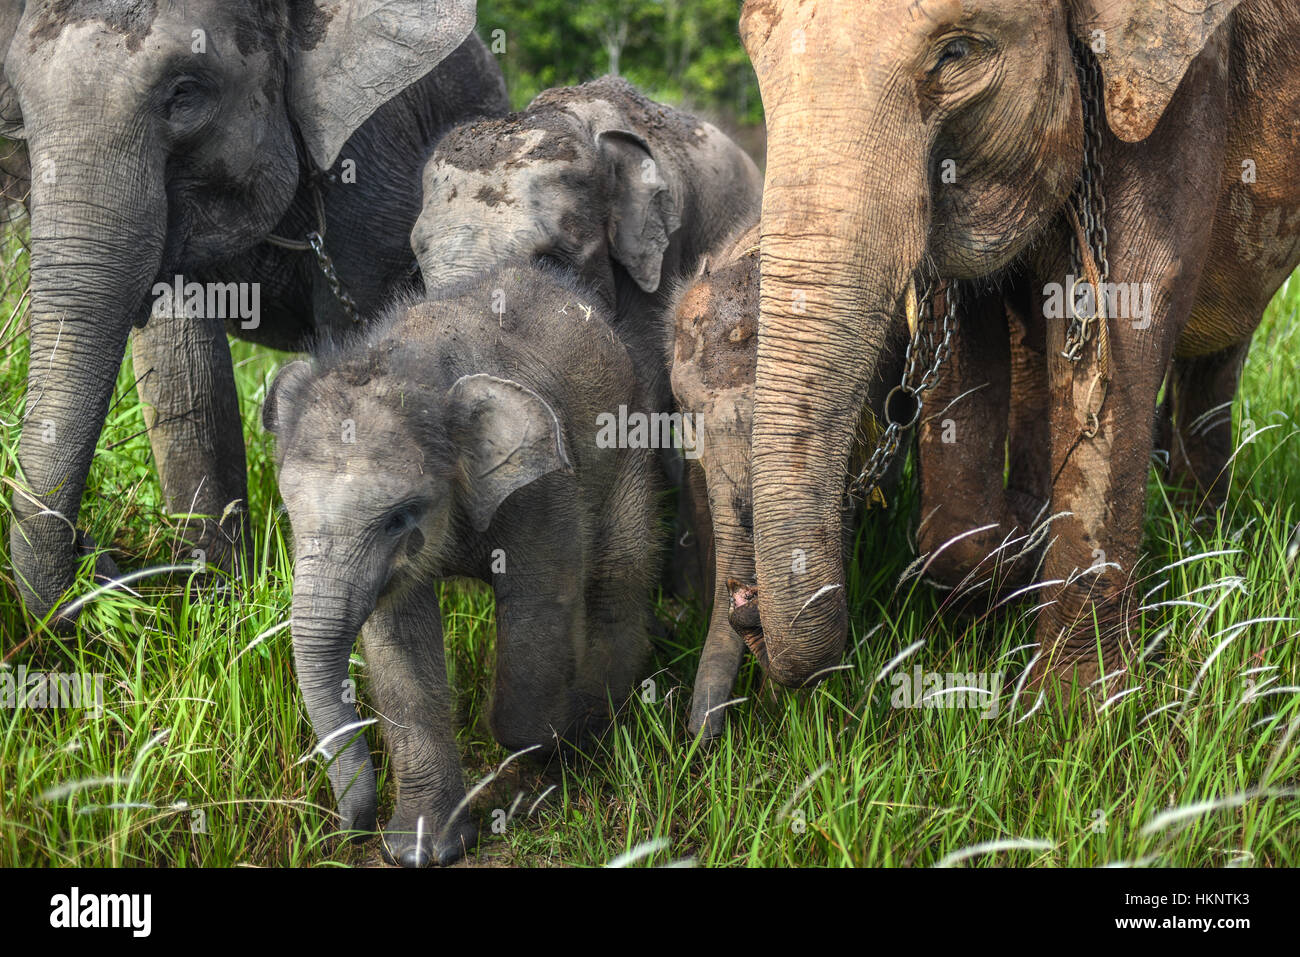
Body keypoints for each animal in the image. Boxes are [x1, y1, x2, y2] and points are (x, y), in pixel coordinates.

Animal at [2, 0, 509, 624]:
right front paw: (221, 607)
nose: (90, 549)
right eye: (18, 111)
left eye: (184, 92)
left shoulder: (375, 160)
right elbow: (184, 367)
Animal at [260, 267, 665, 868]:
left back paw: (598, 722)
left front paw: (558, 735)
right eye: (289, 510)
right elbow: (400, 641)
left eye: (399, 517)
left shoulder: (544, 487)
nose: (340, 832)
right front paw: (419, 851)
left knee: (620, 573)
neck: (414, 364)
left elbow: (539, 606)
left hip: (633, 439)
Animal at [738, 0, 1300, 691]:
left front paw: (1077, 704)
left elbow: (1127, 310)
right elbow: (963, 333)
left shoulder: (1181, 79)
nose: (745, 612)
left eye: (955, 53)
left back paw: (1202, 539)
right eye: (751, 49)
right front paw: (1004, 563)